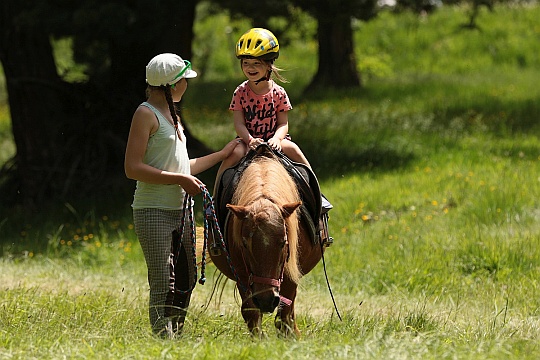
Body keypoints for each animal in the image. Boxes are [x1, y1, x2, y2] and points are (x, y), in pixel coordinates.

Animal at [209, 150, 322, 336]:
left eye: (284, 242)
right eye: (245, 244)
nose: (266, 300)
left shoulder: (291, 273)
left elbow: (285, 314)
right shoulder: (242, 275)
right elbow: (251, 313)